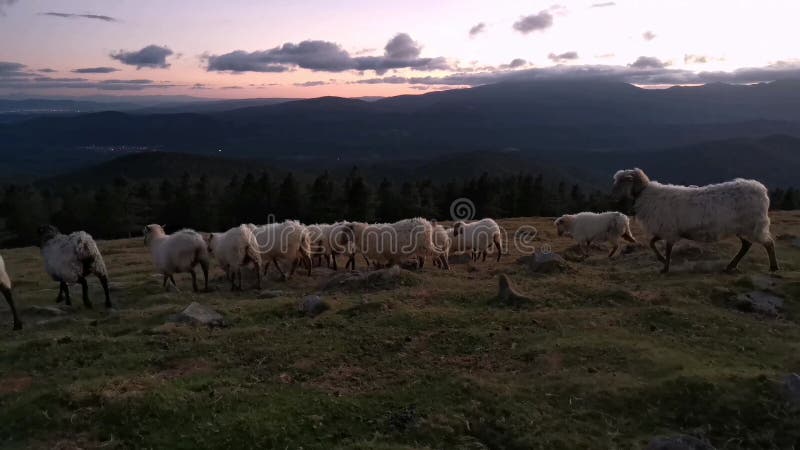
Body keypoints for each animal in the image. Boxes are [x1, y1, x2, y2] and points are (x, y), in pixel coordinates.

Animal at [612, 169, 776, 274]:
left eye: (623, 181)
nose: (613, 195)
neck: (645, 194)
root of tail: (761, 190)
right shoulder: (666, 229)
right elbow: (652, 243)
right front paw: (662, 260)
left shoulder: (669, 230)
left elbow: (667, 249)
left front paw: (665, 267)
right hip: (742, 227)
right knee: (746, 245)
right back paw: (730, 266)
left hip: (752, 225)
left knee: (768, 243)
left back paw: (773, 267)